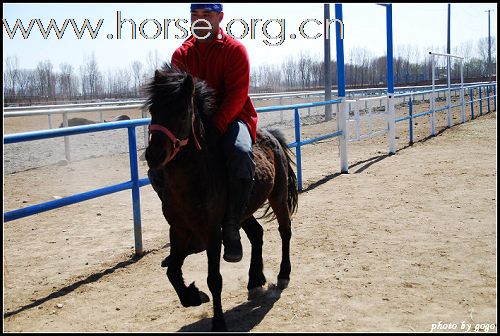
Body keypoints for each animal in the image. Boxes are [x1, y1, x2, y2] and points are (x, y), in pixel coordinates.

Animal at [145, 63, 300, 330]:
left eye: (183, 113)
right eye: (153, 110)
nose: (153, 155)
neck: (194, 177)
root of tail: (272, 137)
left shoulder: (211, 232)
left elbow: (214, 279)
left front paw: (218, 322)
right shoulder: (178, 228)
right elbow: (173, 271)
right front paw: (193, 296)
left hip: (278, 198)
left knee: (285, 231)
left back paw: (283, 274)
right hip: (244, 211)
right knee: (257, 234)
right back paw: (254, 280)